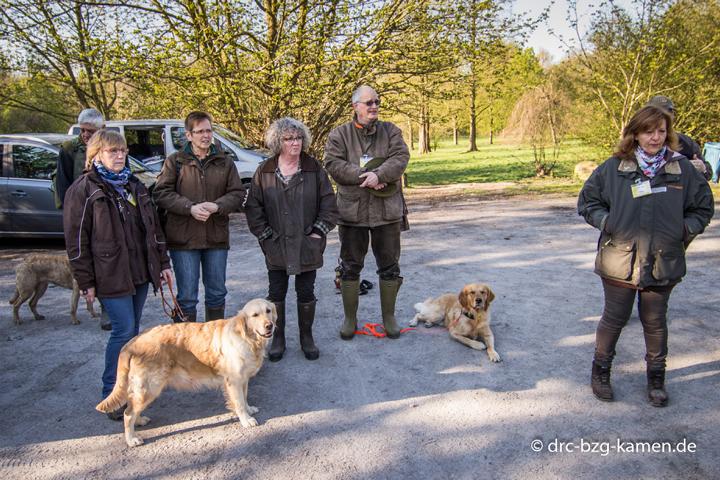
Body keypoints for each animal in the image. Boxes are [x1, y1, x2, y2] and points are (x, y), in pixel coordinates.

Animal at [96, 298, 276, 447]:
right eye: (255, 315)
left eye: (268, 310)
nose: (270, 326)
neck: (248, 338)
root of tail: (132, 342)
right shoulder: (234, 381)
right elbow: (238, 403)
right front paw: (246, 420)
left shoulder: (243, 379)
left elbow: (244, 398)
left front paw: (249, 409)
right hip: (150, 387)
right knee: (128, 413)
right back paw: (131, 439)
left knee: (132, 407)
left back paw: (139, 420)